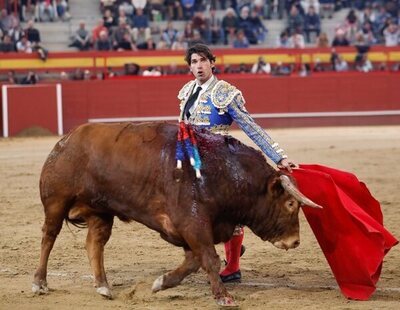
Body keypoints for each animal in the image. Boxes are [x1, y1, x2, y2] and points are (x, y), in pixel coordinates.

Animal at [31, 121, 320, 306]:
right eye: (290, 204)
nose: (295, 241)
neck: (223, 172)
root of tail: (65, 140)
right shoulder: (192, 223)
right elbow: (210, 259)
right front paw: (223, 297)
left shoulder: (192, 230)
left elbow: (194, 261)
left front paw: (161, 283)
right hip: (56, 201)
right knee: (48, 237)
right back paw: (40, 283)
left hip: (101, 211)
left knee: (95, 243)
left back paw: (103, 286)